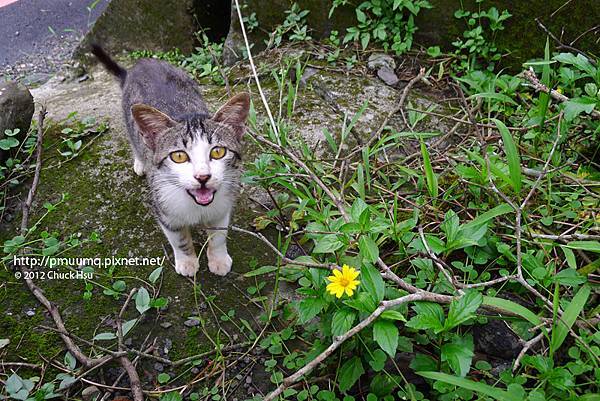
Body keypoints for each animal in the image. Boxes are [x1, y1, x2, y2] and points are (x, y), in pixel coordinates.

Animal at [91, 43, 246, 276]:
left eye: (218, 152)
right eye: (179, 156)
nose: (203, 177)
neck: (196, 206)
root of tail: (141, 63)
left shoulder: (223, 204)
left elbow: (218, 234)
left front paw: (218, 258)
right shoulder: (163, 208)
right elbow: (178, 238)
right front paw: (187, 261)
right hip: (129, 117)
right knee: (135, 139)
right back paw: (140, 161)